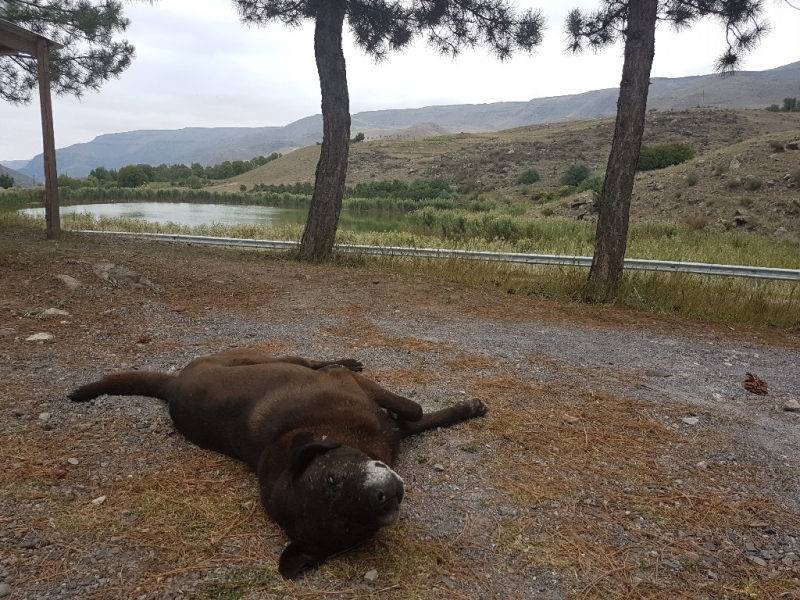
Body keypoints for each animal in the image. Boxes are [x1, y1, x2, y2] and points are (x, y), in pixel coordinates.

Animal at [69, 350, 488, 580]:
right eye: (351, 527)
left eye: (332, 478)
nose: (384, 498)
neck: (310, 431)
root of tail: (173, 386)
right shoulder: (383, 430)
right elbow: (413, 414)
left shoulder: (358, 395)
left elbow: (414, 410)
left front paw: (466, 409)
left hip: (265, 358)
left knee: (310, 360)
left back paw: (344, 358)